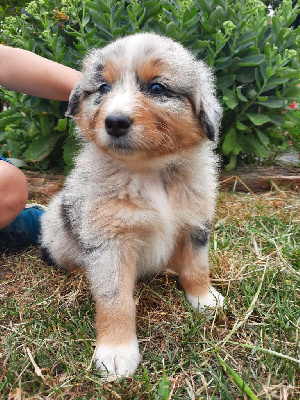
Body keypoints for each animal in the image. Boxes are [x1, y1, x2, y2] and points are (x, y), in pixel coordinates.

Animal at [41, 33, 225, 378]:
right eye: (103, 88)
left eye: (157, 88)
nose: (114, 122)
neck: (149, 171)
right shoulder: (109, 241)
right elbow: (115, 300)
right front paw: (116, 353)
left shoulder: (195, 222)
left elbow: (196, 267)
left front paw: (204, 299)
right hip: (57, 226)